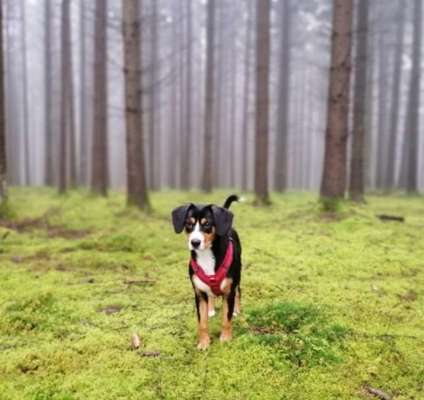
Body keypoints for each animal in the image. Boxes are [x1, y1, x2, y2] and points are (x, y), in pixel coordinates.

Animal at [171, 195, 240, 348]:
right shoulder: (199, 293)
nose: (195, 242)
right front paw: (203, 343)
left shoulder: (229, 291)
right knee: (212, 295)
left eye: (207, 224)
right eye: (188, 224)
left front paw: (225, 339)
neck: (206, 255)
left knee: (239, 291)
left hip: (237, 278)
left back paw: (237, 311)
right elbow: (202, 323)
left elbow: (226, 319)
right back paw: (211, 310)